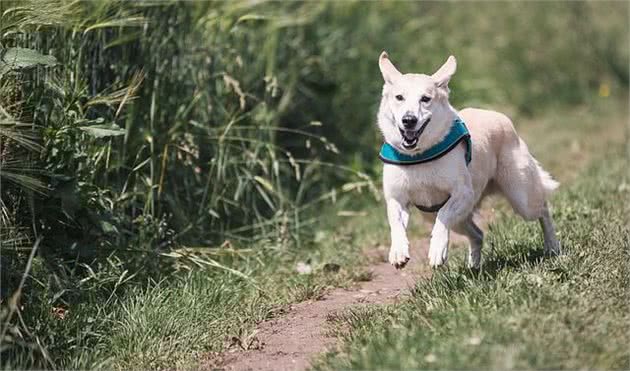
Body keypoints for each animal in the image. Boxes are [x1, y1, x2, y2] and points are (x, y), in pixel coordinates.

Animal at [378, 51, 560, 270]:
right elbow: (395, 223)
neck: (419, 156)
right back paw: (473, 267)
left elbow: (444, 215)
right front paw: (398, 252)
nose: (409, 120)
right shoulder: (396, 198)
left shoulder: (463, 193)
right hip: (446, 217)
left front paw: (437, 250)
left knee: (543, 209)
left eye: (425, 99)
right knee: (478, 234)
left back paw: (553, 246)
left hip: (521, 197)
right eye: (399, 97)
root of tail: (500, 116)